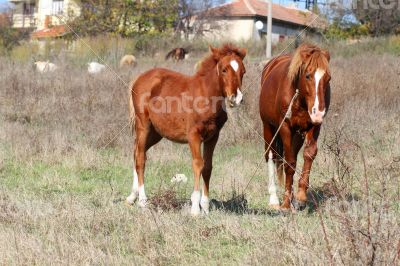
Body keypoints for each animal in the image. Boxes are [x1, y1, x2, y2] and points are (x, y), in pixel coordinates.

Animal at [127, 43, 247, 214]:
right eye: (224, 69)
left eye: (243, 71)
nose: (236, 98)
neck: (206, 96)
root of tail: (139, 77)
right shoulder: (193, 136)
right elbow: (198, 164)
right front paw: (195, 208)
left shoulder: (213, 137)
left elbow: (208, 167)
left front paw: (205, 206)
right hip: (143, 126)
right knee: (140, 158)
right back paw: (143, 201)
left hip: (156, 133)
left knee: (137, 152)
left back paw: (132, 197)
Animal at [260, 43, 332, 210]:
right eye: (307, 75)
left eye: (328, 78)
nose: (318, 112)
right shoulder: (285, 127)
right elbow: (290, 162)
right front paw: (286, 203)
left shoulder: (313, 126)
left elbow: (309, 154)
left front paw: (300, 196)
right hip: (268, 127)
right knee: (271, 155)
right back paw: (274, 198)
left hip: (298, 134)